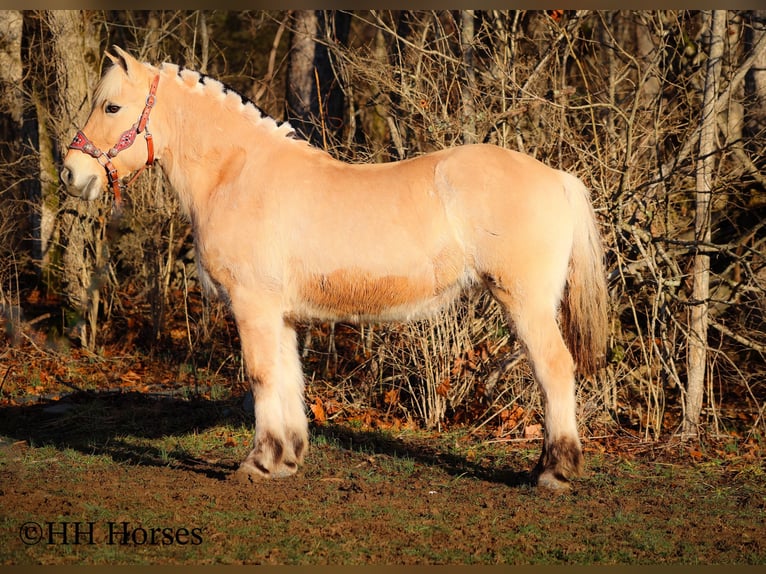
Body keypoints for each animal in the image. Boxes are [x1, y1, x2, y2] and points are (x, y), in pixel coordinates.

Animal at [60, 47, 608, 492]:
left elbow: (261, 376)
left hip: (526, 302)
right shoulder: (279, 314)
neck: (237, 173)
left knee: (555, 369)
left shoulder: (252, 306)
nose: (71, 173)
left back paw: (553, 472)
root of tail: (557, 177)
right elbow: (287, 378)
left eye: (112, 107)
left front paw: (257, 463)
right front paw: (284, 459)